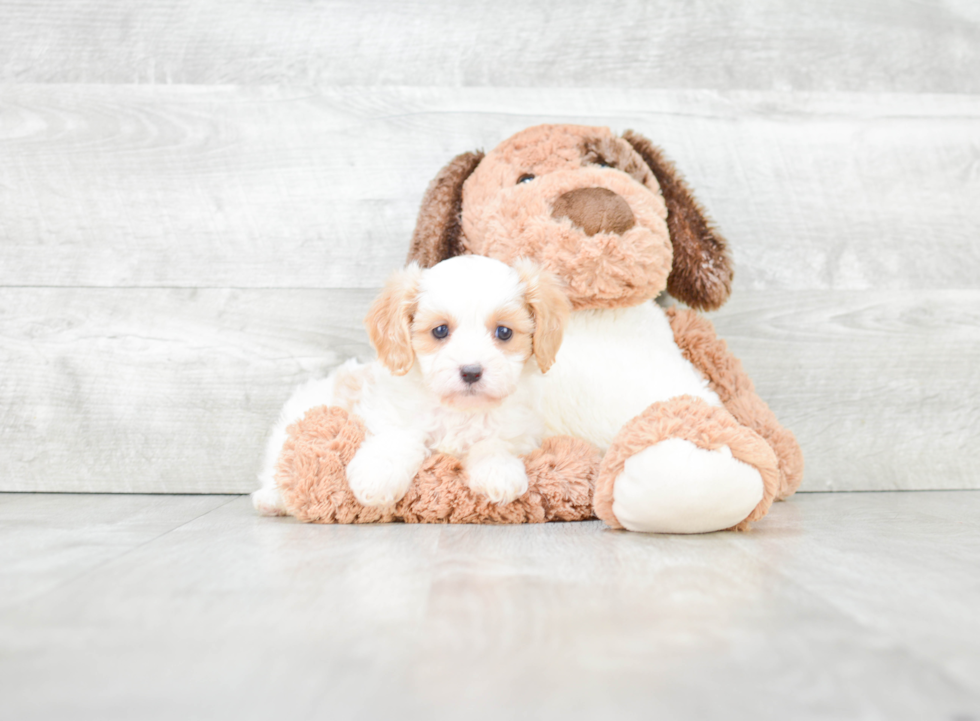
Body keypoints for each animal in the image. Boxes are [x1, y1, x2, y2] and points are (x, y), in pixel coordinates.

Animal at [253, 256, 572, 516]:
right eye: (440, 330)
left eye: (504, 332)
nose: (471, 372)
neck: (458, 411)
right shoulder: (392, 412)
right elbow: (399, 438)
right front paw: (376, 476)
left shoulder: (519, 430)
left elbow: (493, 442)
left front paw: (498, 471)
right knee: (276, 467)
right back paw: (271, 499)